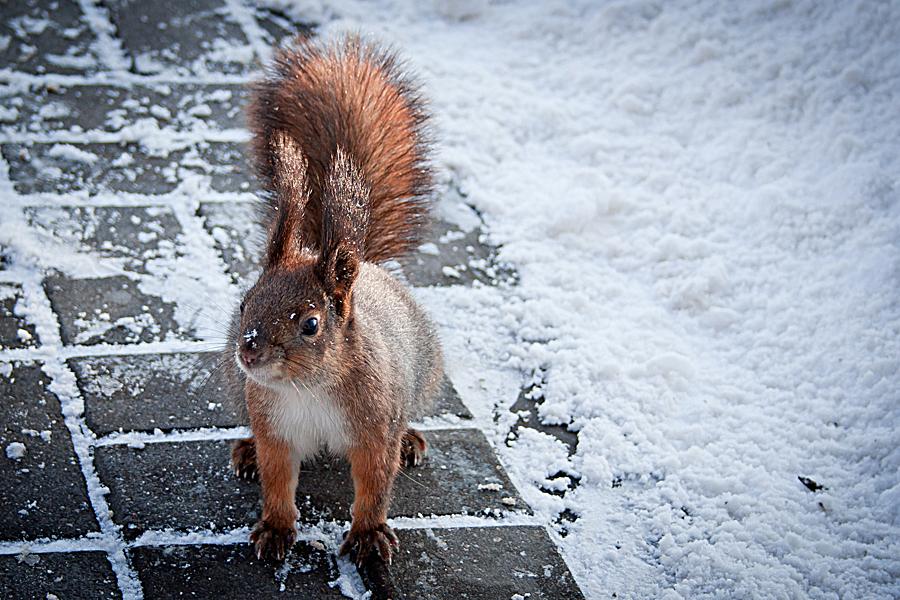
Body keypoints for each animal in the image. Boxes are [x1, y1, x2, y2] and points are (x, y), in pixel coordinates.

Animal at [224, 35, 444, 565]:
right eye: (244, 303)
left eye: (310, 324)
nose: (250, 350)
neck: (309, 389)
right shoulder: (275, 428)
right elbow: (277, 481)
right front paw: (275, 528)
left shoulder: (374, 429)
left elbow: (374, 486)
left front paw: (368, 535)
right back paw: (245, 450)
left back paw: (411, 440)